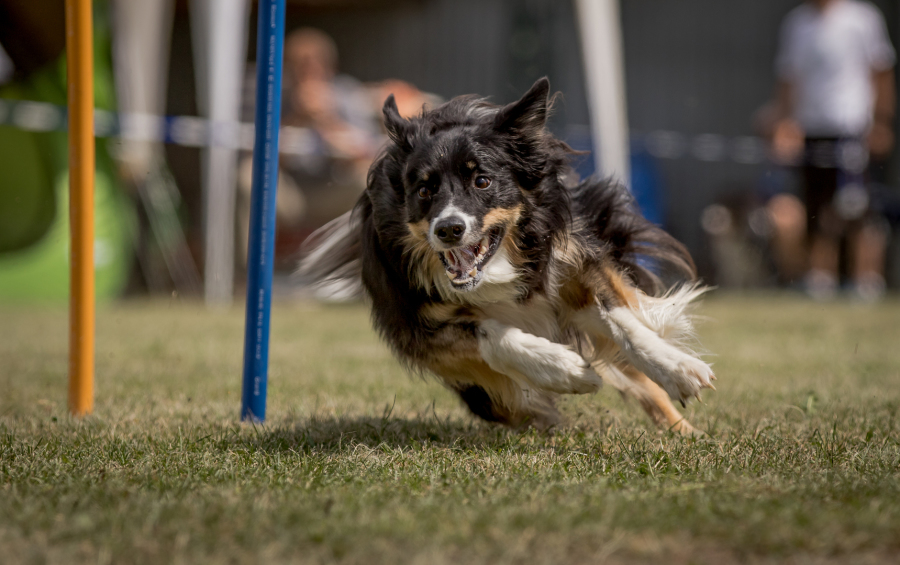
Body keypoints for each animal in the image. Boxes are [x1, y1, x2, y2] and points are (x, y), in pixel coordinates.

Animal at [298, 78, 715, 434]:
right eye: (423, 190)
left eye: (482, 181)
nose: (448, 229)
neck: (493, 273)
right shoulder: (416, 323)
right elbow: (492, 334)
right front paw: (566, 370)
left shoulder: (569, 260)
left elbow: (620, 317)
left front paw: (678, 368)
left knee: (642, 381)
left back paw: (685, 432)